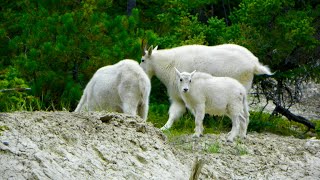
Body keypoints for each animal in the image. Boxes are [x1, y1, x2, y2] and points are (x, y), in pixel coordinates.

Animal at [141, 44, 272, 130]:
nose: (142, 74)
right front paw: (164, 128)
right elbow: (174, 113)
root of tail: (254, 64)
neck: (169, 64)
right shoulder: (180, 97)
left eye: (142, 60)